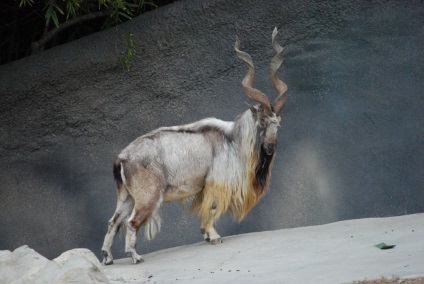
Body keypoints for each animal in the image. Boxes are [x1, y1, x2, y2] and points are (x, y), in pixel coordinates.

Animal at [101, 27, 288, 266]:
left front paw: (208, 236)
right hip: (147, 197)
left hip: (126, 197)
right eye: (262, 123)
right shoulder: (216, 183)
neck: (233, 140)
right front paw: (214, 236)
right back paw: (135, 256)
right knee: (131, 222)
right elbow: (213, 209)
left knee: (114, 222)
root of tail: (121, 159)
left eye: (277, 124)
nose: (270, 148)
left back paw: (107, 258)